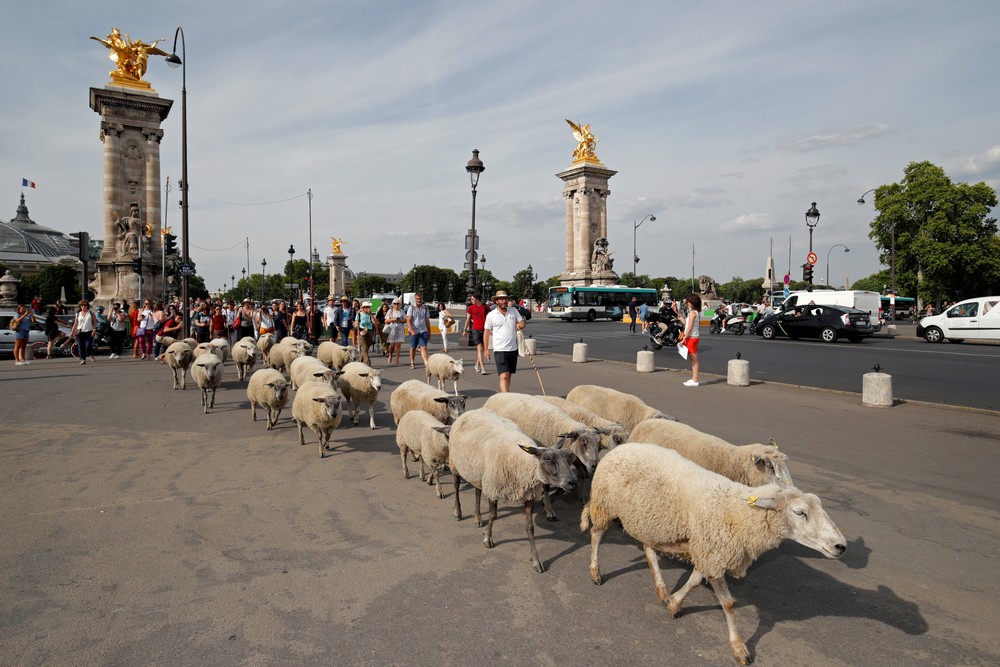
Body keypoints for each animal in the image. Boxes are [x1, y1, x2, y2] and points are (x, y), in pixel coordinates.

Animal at [448, 408, 580, 576]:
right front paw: (487, 539)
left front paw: (536, 560)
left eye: (566, 457)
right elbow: (493, 516)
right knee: (456, 485)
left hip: (477, 471)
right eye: (548, 459)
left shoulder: (529, 496)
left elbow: (530, 528)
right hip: (455, 463)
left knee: (477, 491)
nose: (572, 483)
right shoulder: (493, 488)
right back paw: (457, 511)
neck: (523, 461)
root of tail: (471, 411)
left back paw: (477, 517)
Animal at [580, 444, 844, 667]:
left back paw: (662, 591)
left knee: (649, 550)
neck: (738, 511)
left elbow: (695, 581)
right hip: (605, 505)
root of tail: (619, 448)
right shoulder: (714, 552)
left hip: (651, 522)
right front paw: (739, 648)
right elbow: (727, 603)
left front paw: (674, 603)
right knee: (596, 535)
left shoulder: (709, 551)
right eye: (800, 513)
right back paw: (595, 572)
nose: (841, 546)